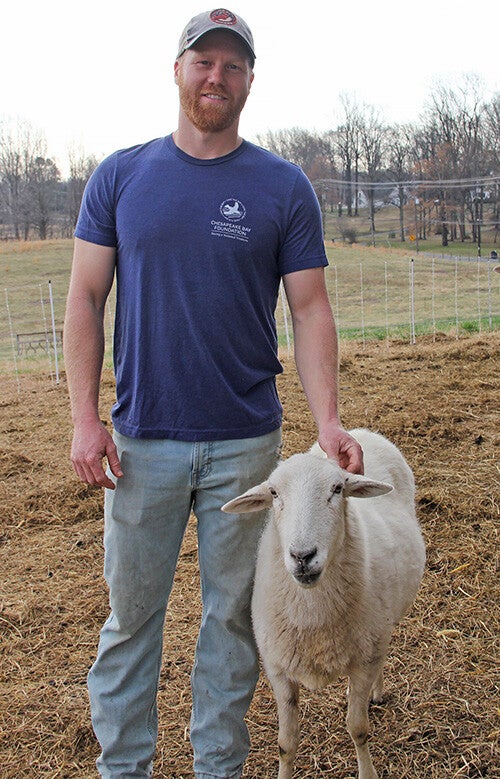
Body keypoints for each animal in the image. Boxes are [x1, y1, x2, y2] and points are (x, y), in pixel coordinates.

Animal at [222, 428, 426, 779]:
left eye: (337, 489)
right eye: (273, 493)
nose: (303, 556)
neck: (313, 615)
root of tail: (360, 431)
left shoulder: (365, 660)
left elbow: (358, 729)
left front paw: (367, 772)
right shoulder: (278, 670)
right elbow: (286, 744)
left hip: (381, 630)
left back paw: (376, 692)